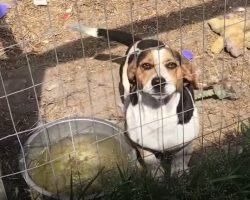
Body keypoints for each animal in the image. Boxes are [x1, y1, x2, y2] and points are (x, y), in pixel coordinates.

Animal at [70, 24, 199, 176]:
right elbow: (151, 162)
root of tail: (141, 40)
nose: (158, 82)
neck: (159, 111)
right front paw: (157, 177)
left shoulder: (186, 141)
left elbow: (180, 159)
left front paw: (180, 173)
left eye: (171, 65)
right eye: (146, 66)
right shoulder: (143, 145)